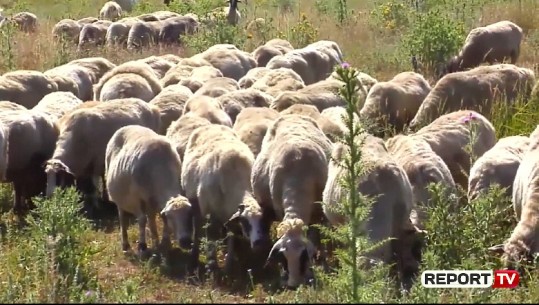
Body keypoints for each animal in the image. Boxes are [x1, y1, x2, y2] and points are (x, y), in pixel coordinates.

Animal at [105, 123, 190, 254]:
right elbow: (142, 220)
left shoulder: (154, 198)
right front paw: (142, 245)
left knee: (150, 217)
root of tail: (128, 125)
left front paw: (162, 242)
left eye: (189, 215)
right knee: (122, 216)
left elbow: (155, 218)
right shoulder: (137, 197)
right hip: (120, 196)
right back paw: (125, 244)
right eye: (171, 216)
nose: (186, 242)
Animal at [182, 122, 274, 274]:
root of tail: (211, 125)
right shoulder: (210, 213)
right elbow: (211, 237)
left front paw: (229, 264)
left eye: (264, 220)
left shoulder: (230, 213)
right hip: (195, 203)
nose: (259, 244)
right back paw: (194, 255)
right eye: (245, 222)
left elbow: (232, 236)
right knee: (198, 228)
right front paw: (212, 265)